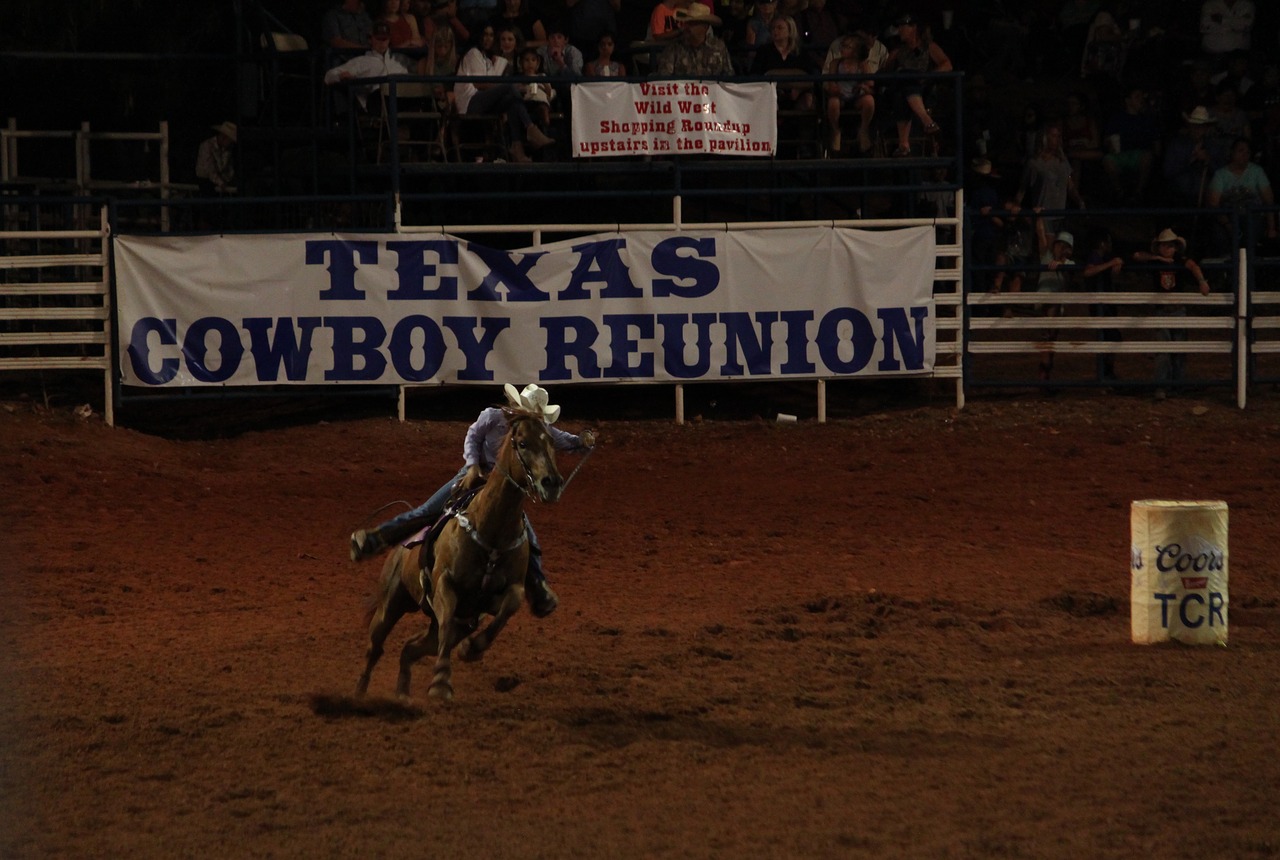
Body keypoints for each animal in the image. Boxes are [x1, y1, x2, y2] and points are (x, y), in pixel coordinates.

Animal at [355, 406, 565, 696]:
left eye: (552, 442)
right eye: (523, 443)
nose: (552, 483)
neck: (490, 530)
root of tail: (401, 549)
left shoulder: (500, 595)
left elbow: (510, 605)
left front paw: (472, 649)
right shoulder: (446, 584)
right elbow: (446, 623)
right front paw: (441, 682)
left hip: (454, 625)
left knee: (410, 648)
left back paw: (402, 694)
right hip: (390, 603)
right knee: (375, 648)